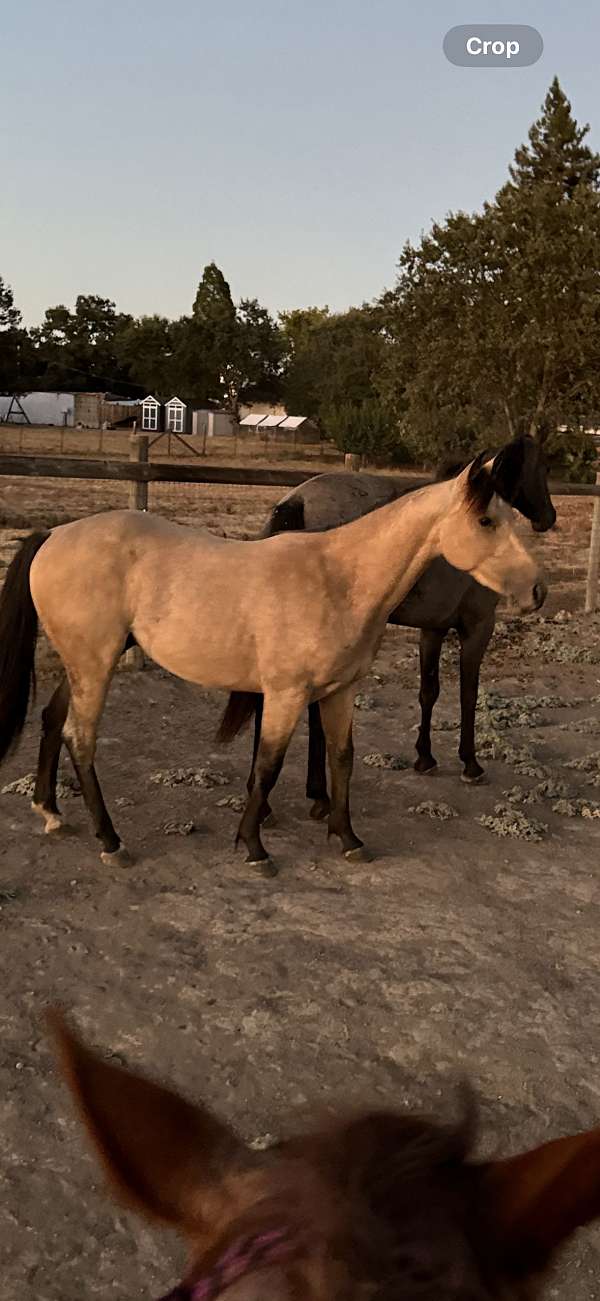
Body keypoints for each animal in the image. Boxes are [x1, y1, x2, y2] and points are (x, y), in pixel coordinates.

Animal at [218, 439, 551, 822]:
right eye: (539, 469)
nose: (548, 517)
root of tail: (295, 501)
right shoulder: (478, 626)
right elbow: (468, 694)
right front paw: (470, 764)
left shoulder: (432, 630)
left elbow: (429, 691)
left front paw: (425, 757)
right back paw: (313, 796)